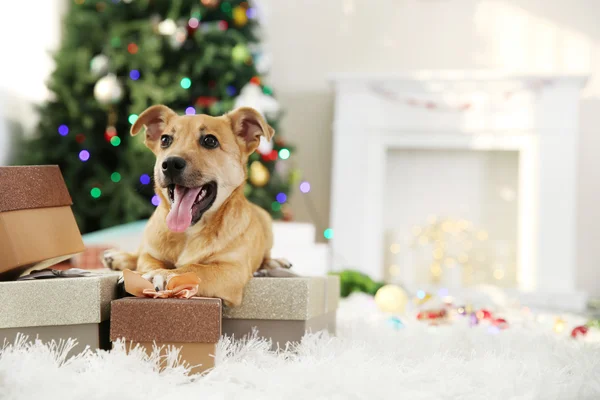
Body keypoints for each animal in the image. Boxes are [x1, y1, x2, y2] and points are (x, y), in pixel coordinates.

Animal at [101, 104, 290, 304]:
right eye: (165, 140)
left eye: (210, 141)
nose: (170, 163)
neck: (189, 233)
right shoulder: (150, 254)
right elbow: (146, 262)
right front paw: (143, 273)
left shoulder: (231, 270)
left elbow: (195, 268)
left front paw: (163, 275)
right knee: (138, 252)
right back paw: (118, 257)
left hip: (267, 223)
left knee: (266, 255)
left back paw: (273, 263)